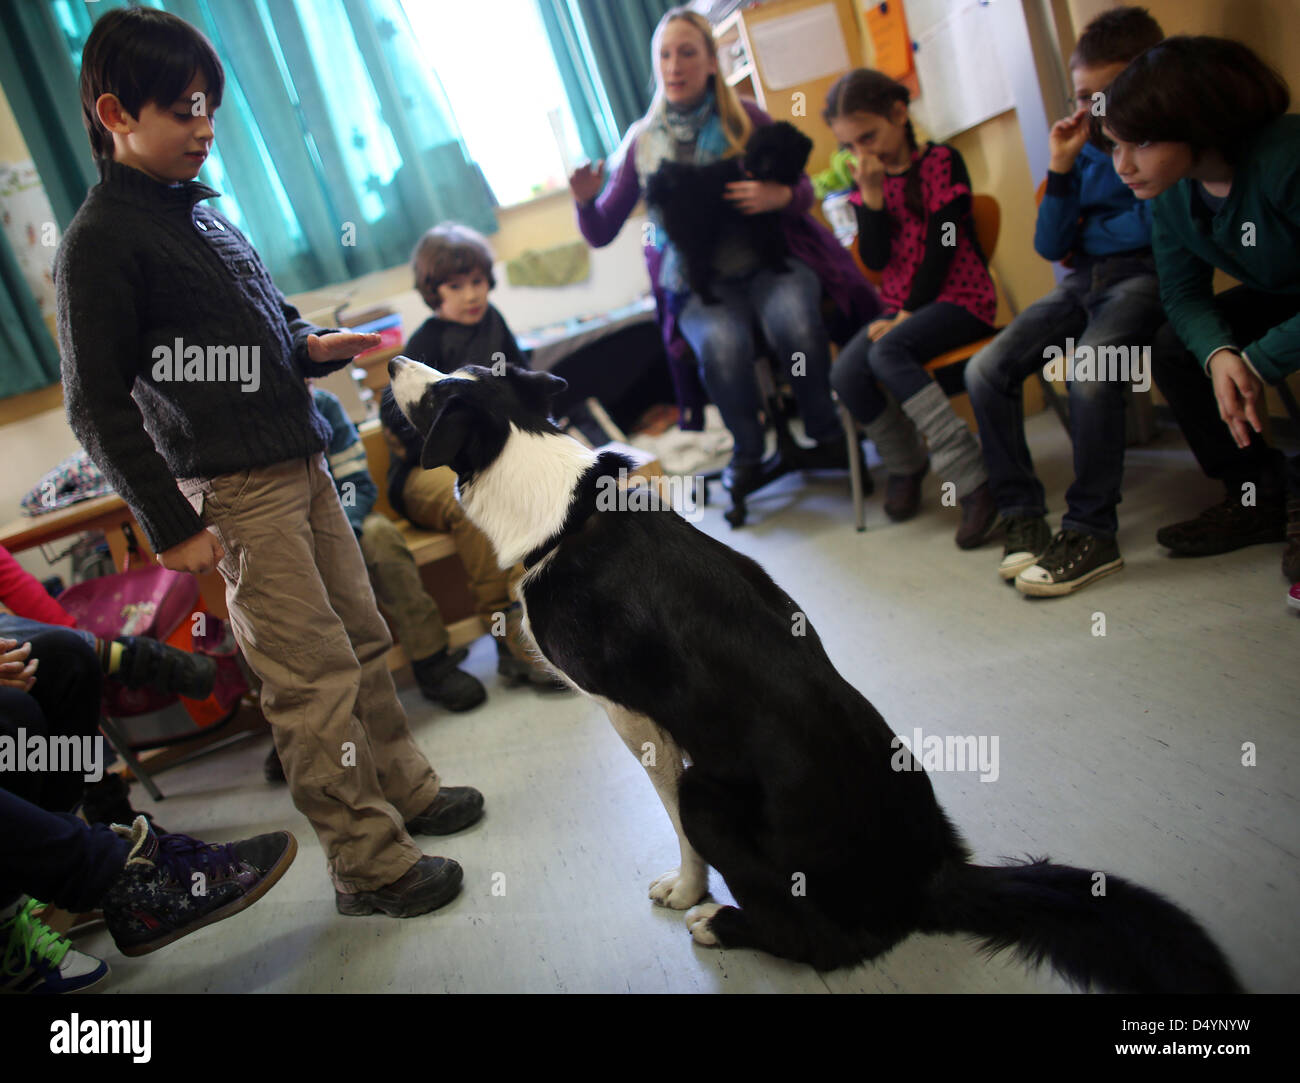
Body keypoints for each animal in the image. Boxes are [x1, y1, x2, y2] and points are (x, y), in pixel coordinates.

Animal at [642, 119, 811, 301]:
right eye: (762, 154)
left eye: (783, 152)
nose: (767, 169)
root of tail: (667, 191)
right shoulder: (758, 224)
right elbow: (768, 244)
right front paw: (779, 266)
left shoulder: (769, 220)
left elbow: (776, 238)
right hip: (699, 240)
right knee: (695, 272)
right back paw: (708, 299)